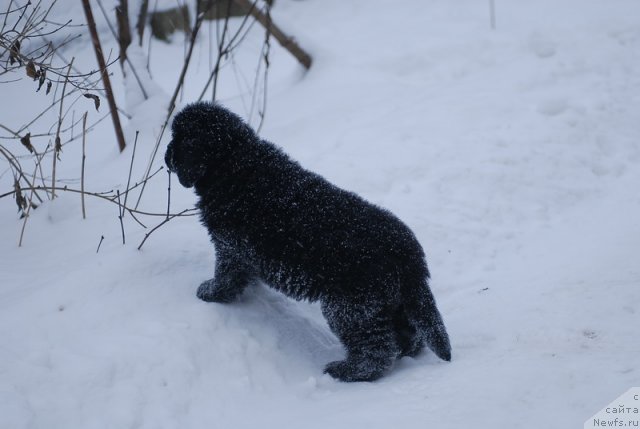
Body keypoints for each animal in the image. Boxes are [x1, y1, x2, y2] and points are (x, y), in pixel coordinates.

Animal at [168, 101, 452, 382]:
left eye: (178, 139)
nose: (166, 155)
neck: (235, 163)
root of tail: (408, 254)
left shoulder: (230, 247)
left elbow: (226, 275)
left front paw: (211, 292)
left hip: (351, 307)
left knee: (376, 350)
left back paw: (348, 371)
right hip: (392, 301)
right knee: (409, 334)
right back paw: (404, 353)